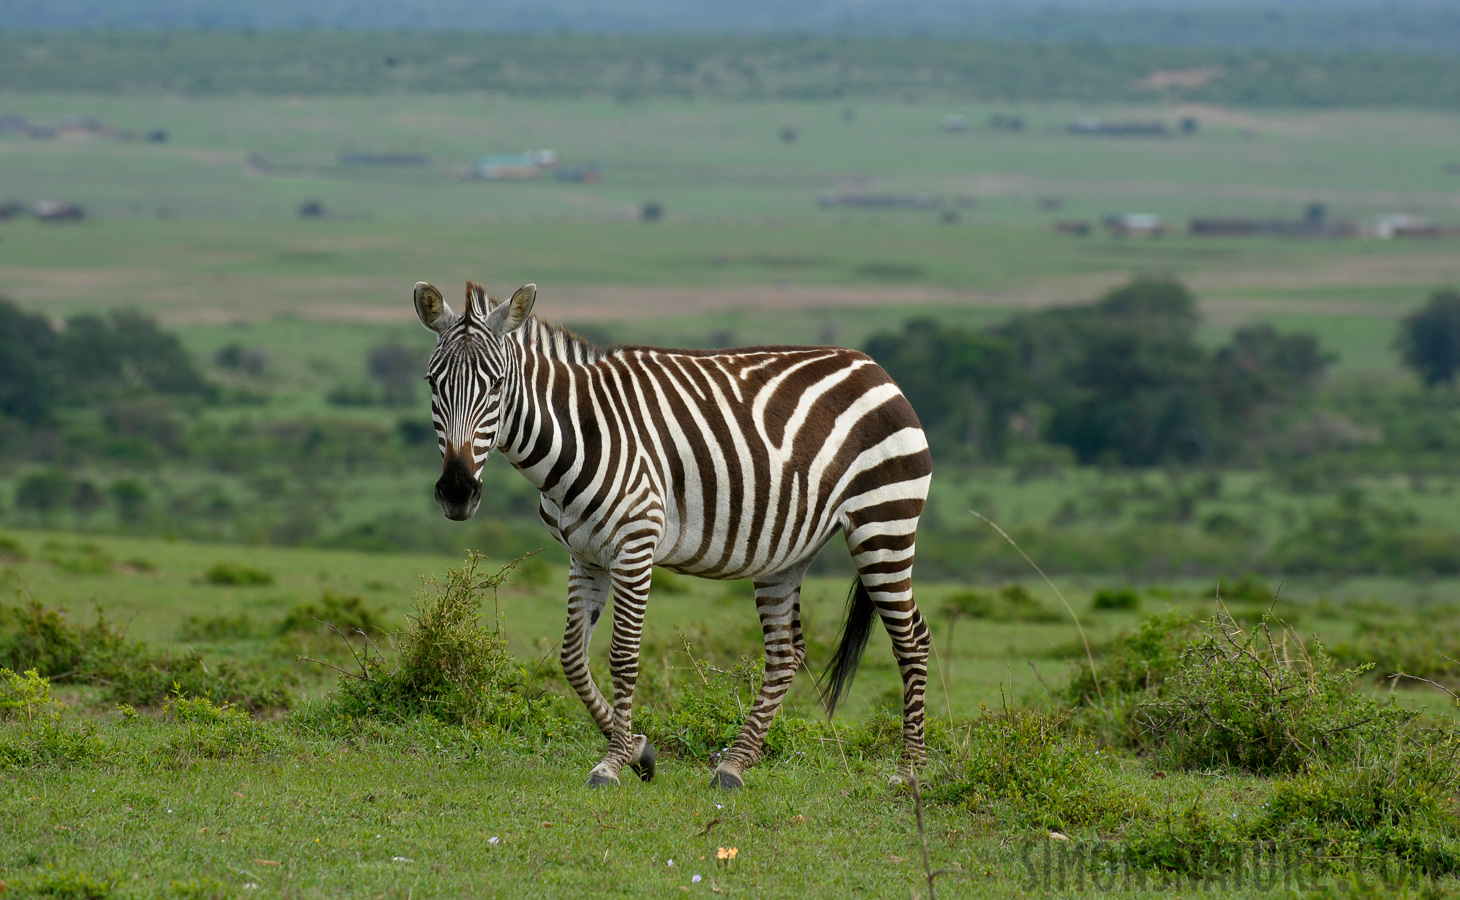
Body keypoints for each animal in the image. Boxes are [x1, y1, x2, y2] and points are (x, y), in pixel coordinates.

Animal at [411, 279, 934, 788]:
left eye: (497, 385)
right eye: (432, 383)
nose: (457, 491)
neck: (578, 435)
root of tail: (872, 366)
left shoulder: (634, 545)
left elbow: (623, 656)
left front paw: (611, 764)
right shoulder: (584, 555)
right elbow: (572, 657)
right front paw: (639, 752)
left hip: (883, 524)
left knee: (912, 640)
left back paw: (909, 772)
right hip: (787, 552)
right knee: (786, 654)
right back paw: (734, 766)